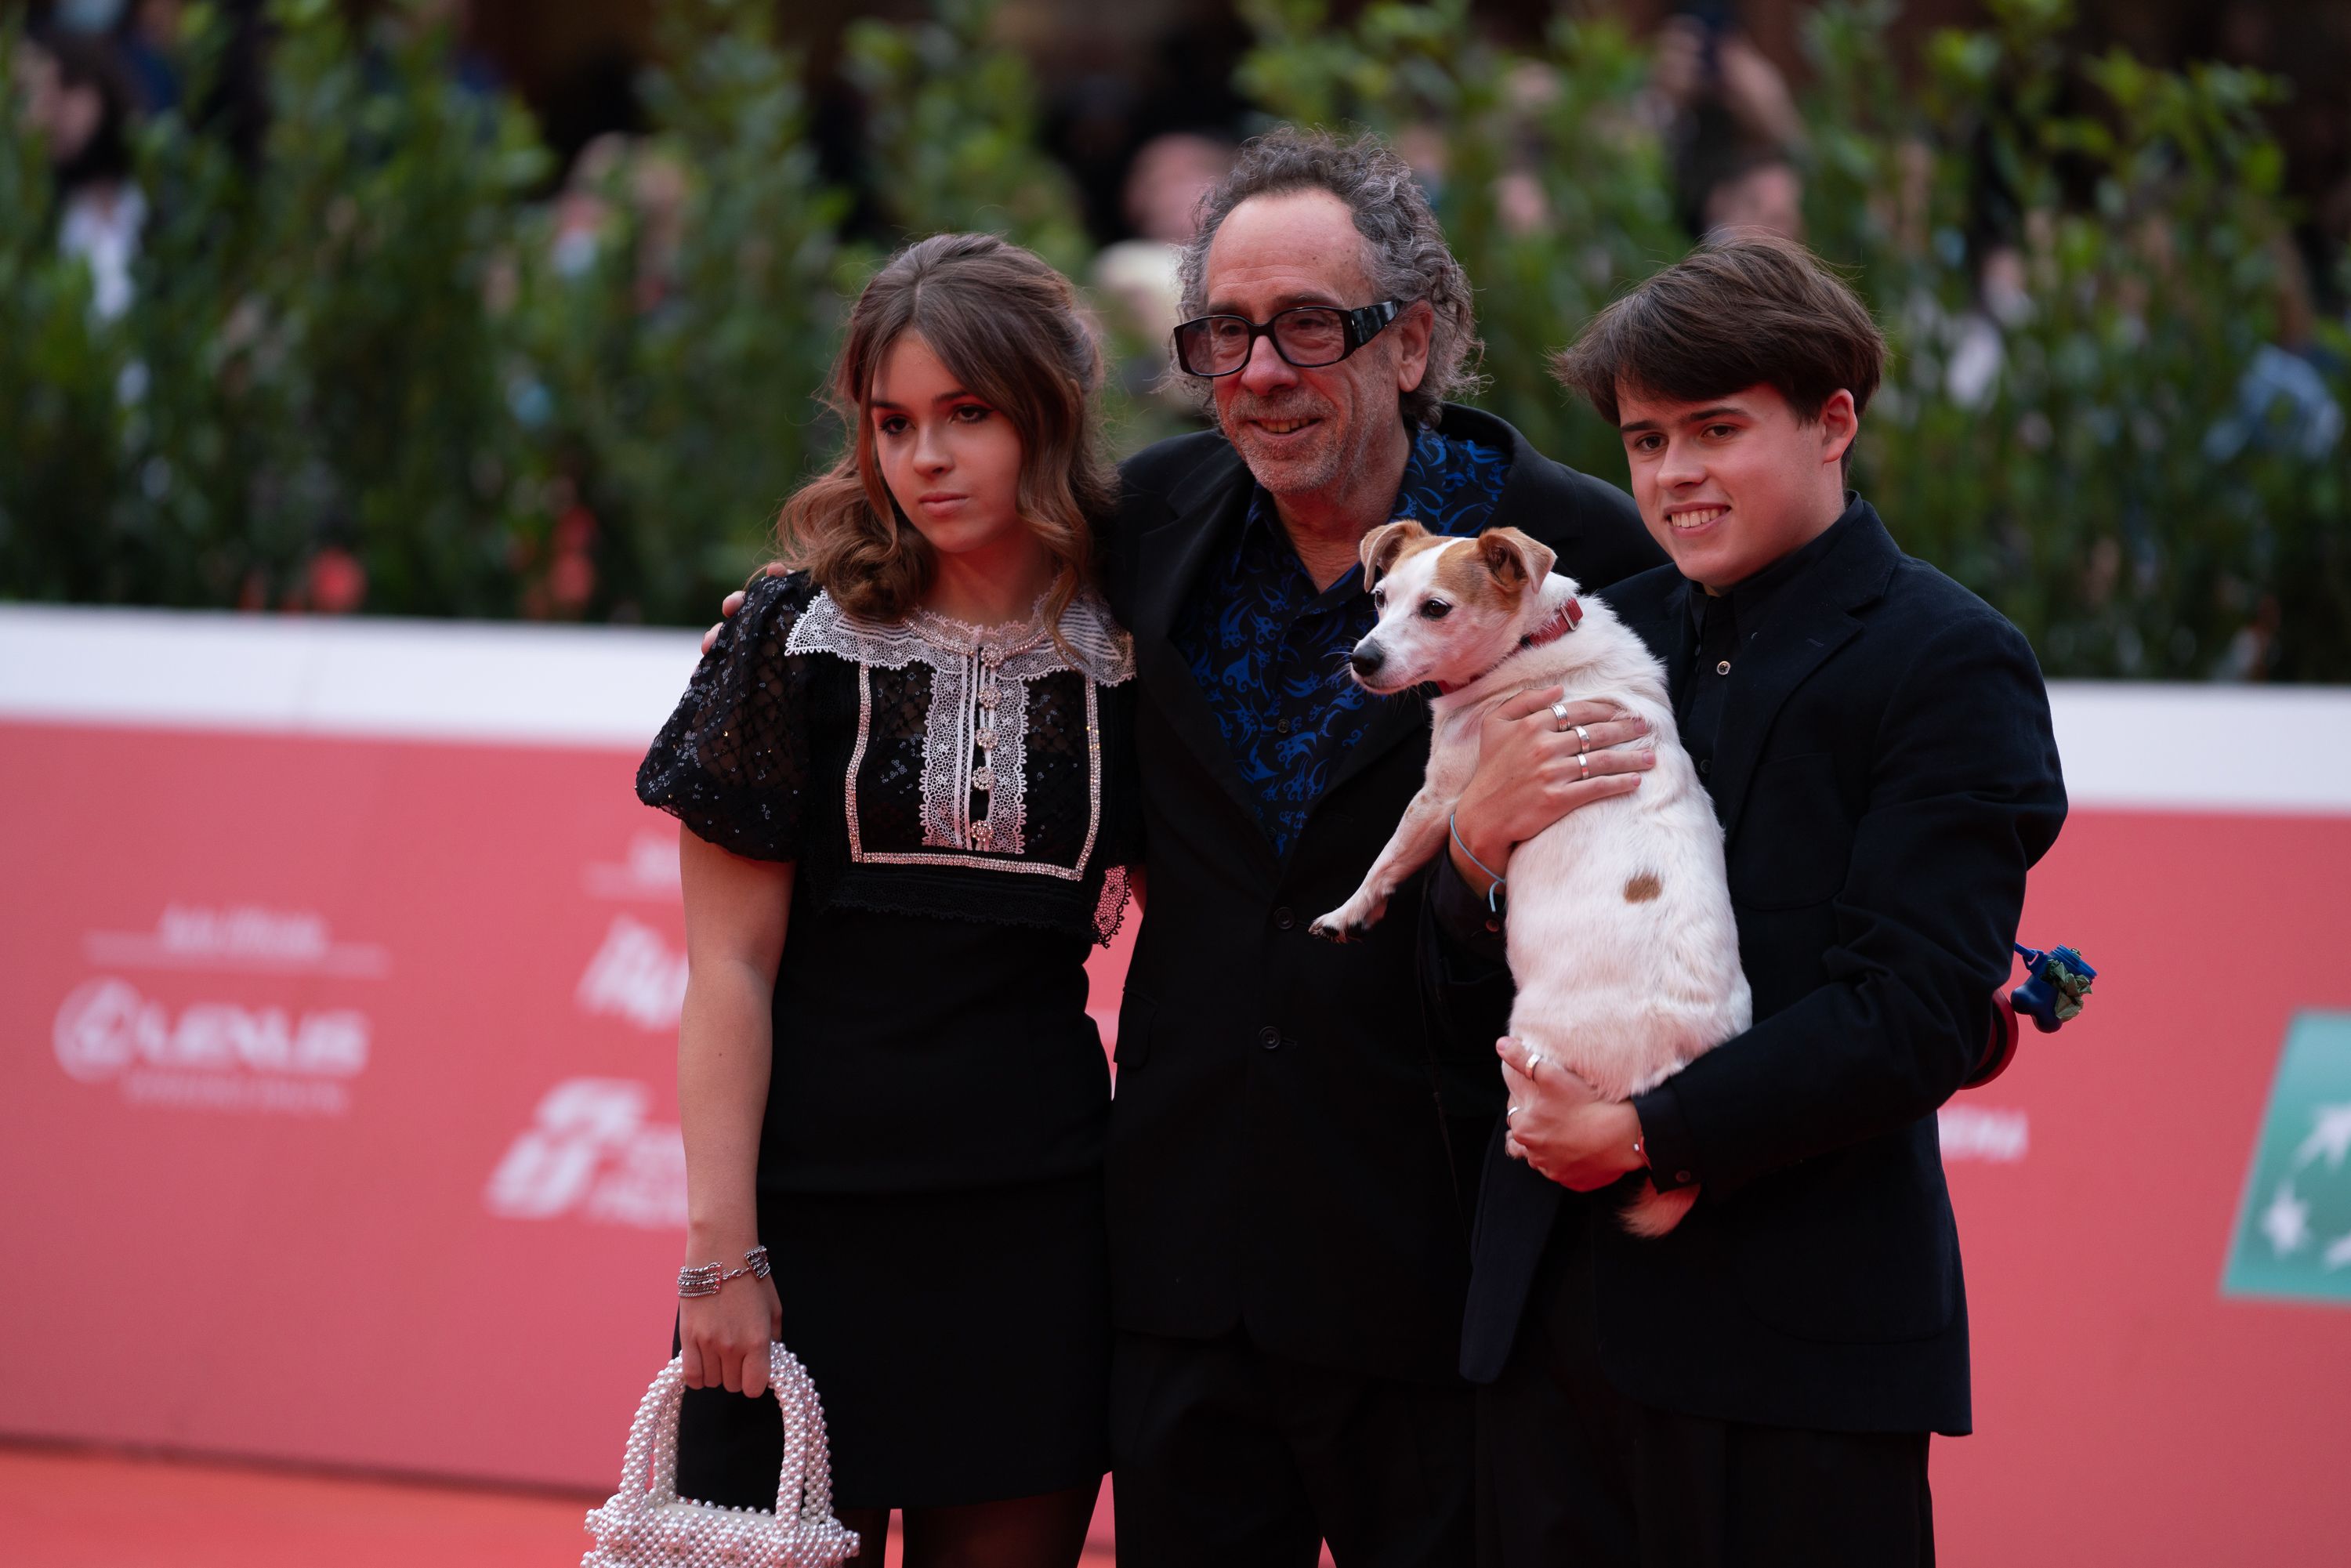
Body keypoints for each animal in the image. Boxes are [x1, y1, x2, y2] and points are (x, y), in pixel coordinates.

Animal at [1317, 524, 1759, 1241]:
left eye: (1435, 608)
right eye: (1379, 598)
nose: (1362, 659)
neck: (1533, 640)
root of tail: (1668, 1074)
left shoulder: (1441, 795)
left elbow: (1387, 858)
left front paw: (1347, 912)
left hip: (1524, 1045)